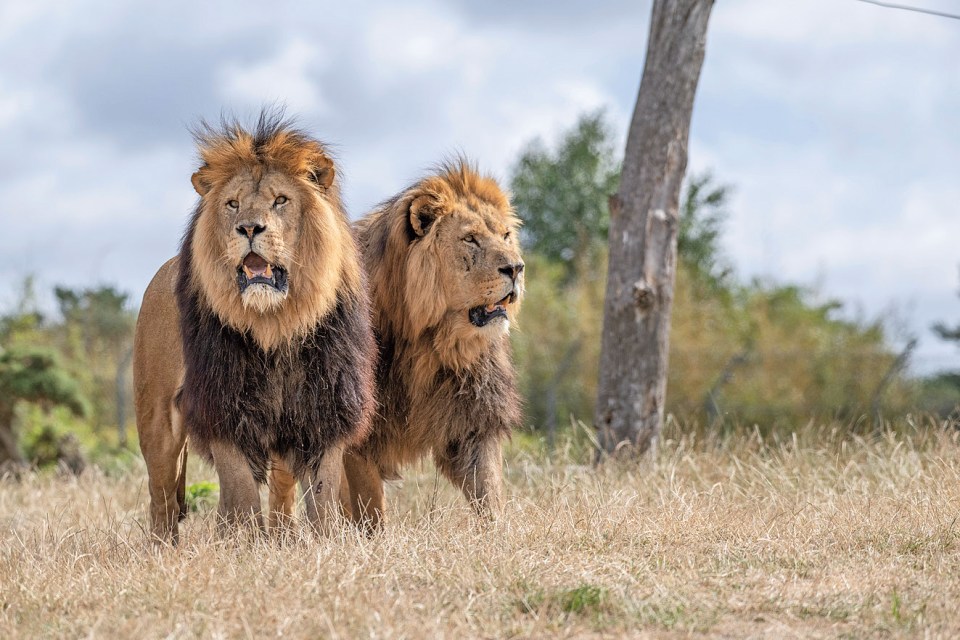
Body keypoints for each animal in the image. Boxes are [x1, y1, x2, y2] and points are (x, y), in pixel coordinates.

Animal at [133, 112, 374, 544]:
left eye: (281, 200)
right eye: (232, 204)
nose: (248, 228)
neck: (276, 322)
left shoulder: (325, 403)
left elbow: (324, 488)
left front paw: (326, 540)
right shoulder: (223, 402)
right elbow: (240, 486)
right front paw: (241, 541)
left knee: (282, 489)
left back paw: (282, 536)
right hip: (157, 418)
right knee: (160, 493)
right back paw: (164, 547)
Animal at [270, 161, 520, 528]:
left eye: (505, 236)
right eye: (470, 239)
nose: (516, 268)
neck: (428, 339)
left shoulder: (473, 419)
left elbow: (489, 490)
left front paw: (499, 534)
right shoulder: (357, 433)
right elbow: (368, 506)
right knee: (282, 484)